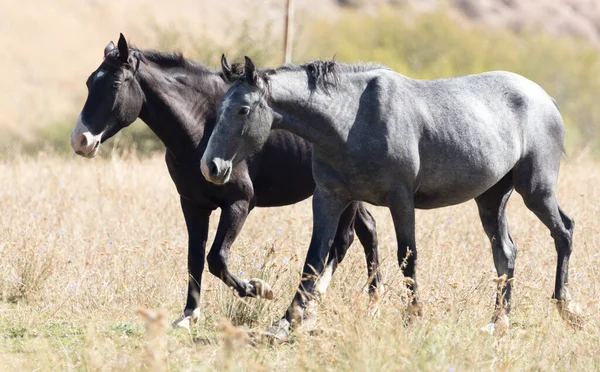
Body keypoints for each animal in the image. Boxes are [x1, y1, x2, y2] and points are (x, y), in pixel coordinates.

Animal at [69, 34, 380, 326]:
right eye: (88, 83)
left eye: (114, 85)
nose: (80, 141)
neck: (201, 127)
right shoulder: (192, 204)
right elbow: (195, 257)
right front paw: (189, 314)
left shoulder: (239, 203)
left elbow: (216, 258)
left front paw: (258, 288)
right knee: (368, 231)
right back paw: (373, 302)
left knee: (344, 240)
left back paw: (315, 303)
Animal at [202, 56, 580, 338]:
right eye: (220, 107)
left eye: (244, 109)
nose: (212, 166)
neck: (350, 120)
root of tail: (545, 99)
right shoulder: (329, 198)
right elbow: (314, 259)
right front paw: (284, 322)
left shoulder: (401, 200)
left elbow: (406, 258)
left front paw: (413, 316)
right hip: (491, 199)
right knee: (505, 253)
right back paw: (499, 321)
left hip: (536, 190)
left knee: (563, 232)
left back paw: (565, 307)